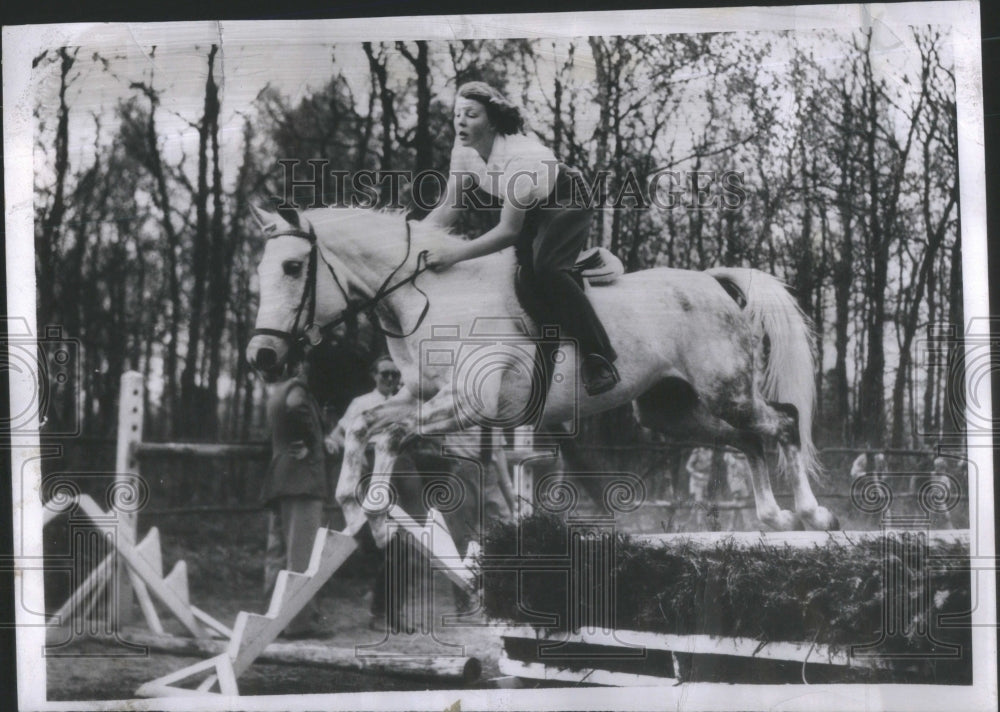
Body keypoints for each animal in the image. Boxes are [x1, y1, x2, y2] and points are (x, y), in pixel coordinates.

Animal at [246, 206, 840, 540]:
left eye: (293, 268)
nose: (262, 357)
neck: (433, 297)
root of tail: (714, 282)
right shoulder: (423, 394)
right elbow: (364, 423)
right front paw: (355, 506)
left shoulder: (465, 403)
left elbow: (388, 433)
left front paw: (370, 508)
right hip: (674, 410)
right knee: (749, 439)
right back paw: (774, 518)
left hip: (726, 391)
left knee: (782, 423)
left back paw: (814, 515)